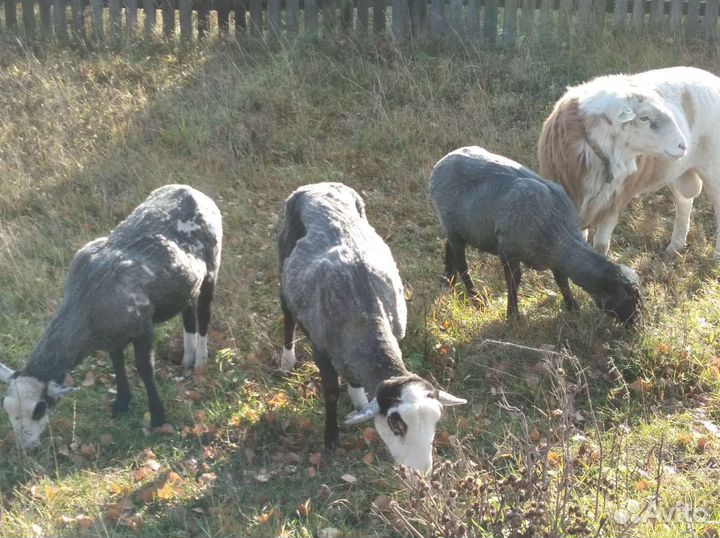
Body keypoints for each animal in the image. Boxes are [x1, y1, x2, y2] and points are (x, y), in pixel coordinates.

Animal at [0, 184, 222, 450]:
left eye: (39, 410)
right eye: (7, 410)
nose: (26, 449)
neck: (85, 306)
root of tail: (189, 189)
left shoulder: (143, 328)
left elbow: (144, 368)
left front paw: (157, 417)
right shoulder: (112, 335)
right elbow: (117, 362)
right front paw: (121, 403)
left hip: (212, 267)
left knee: (204, 314)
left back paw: (200, 361)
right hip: (187, 284)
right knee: (188, 312)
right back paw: (187, 359)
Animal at [278, 182, 466, 472]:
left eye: (435, 422)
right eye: (395, 423)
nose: (421, 472)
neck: (366, 317)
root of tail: (316, 186)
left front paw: (359, 404)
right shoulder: (321, 348)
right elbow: (331, 392)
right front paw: (331, 438)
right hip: (283, 274)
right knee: (287, 317)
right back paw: (286, 359)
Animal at [429, 146, 643, 323]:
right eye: (629, 298)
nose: (635, 324)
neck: (557, 230)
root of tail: (442, 162)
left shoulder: (555, 258)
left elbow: (562, 280)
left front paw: (573, 308)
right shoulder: (508, 250)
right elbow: (514, 281)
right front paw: (513, 316)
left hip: (458, 229)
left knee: (448, 247)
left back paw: (448, 283)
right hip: (452, 225)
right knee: (462, 264)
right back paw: (476, 300)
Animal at [538, 66, 720, 256]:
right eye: (644, 117)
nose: (683, 145)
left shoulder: (615, 201)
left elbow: (601, 245)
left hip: (713, 168)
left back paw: (715, 254)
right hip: (676, 170)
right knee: (684, 201)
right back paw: (675, 246)